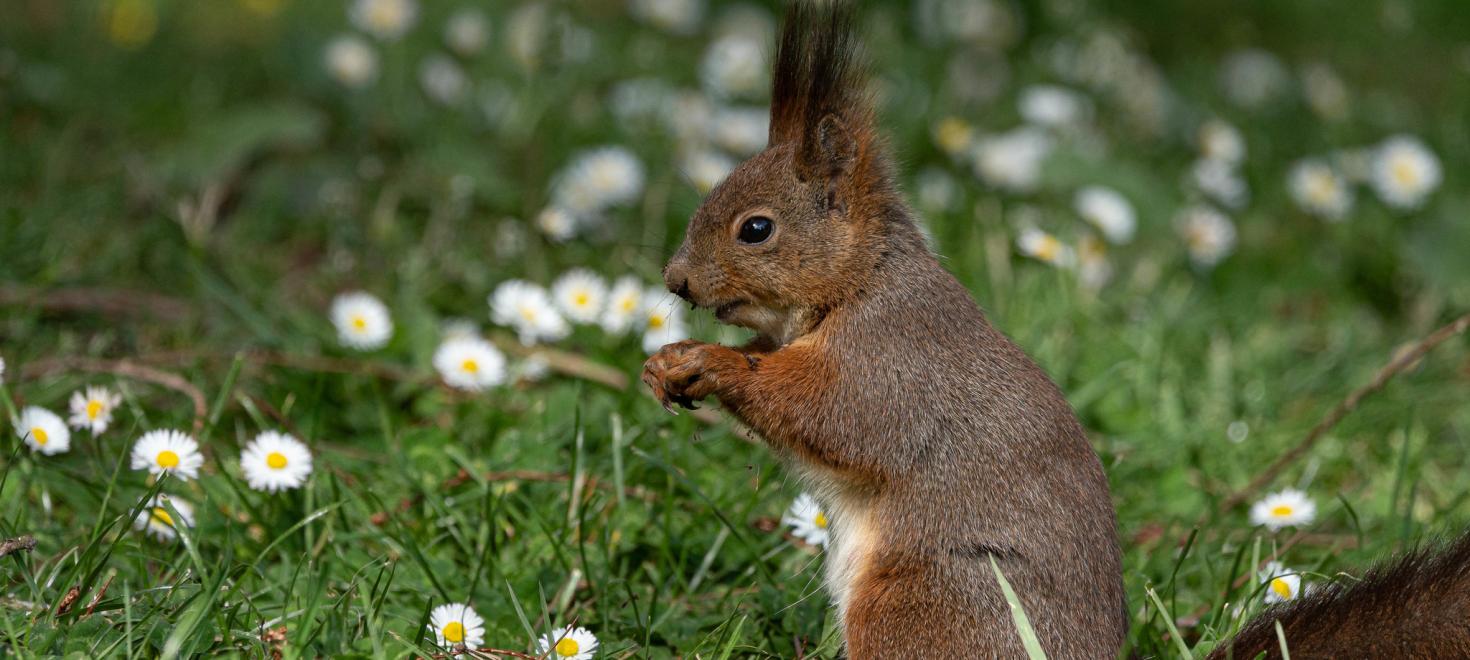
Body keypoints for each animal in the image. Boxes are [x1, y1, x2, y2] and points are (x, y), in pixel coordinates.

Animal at [642, 2, 1470, 658]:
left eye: (756, 228)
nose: (674, 282)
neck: (859, 286)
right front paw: (668, 361)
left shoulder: (894, 360)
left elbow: (835, 417)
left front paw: (713, 364)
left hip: (927, 603)